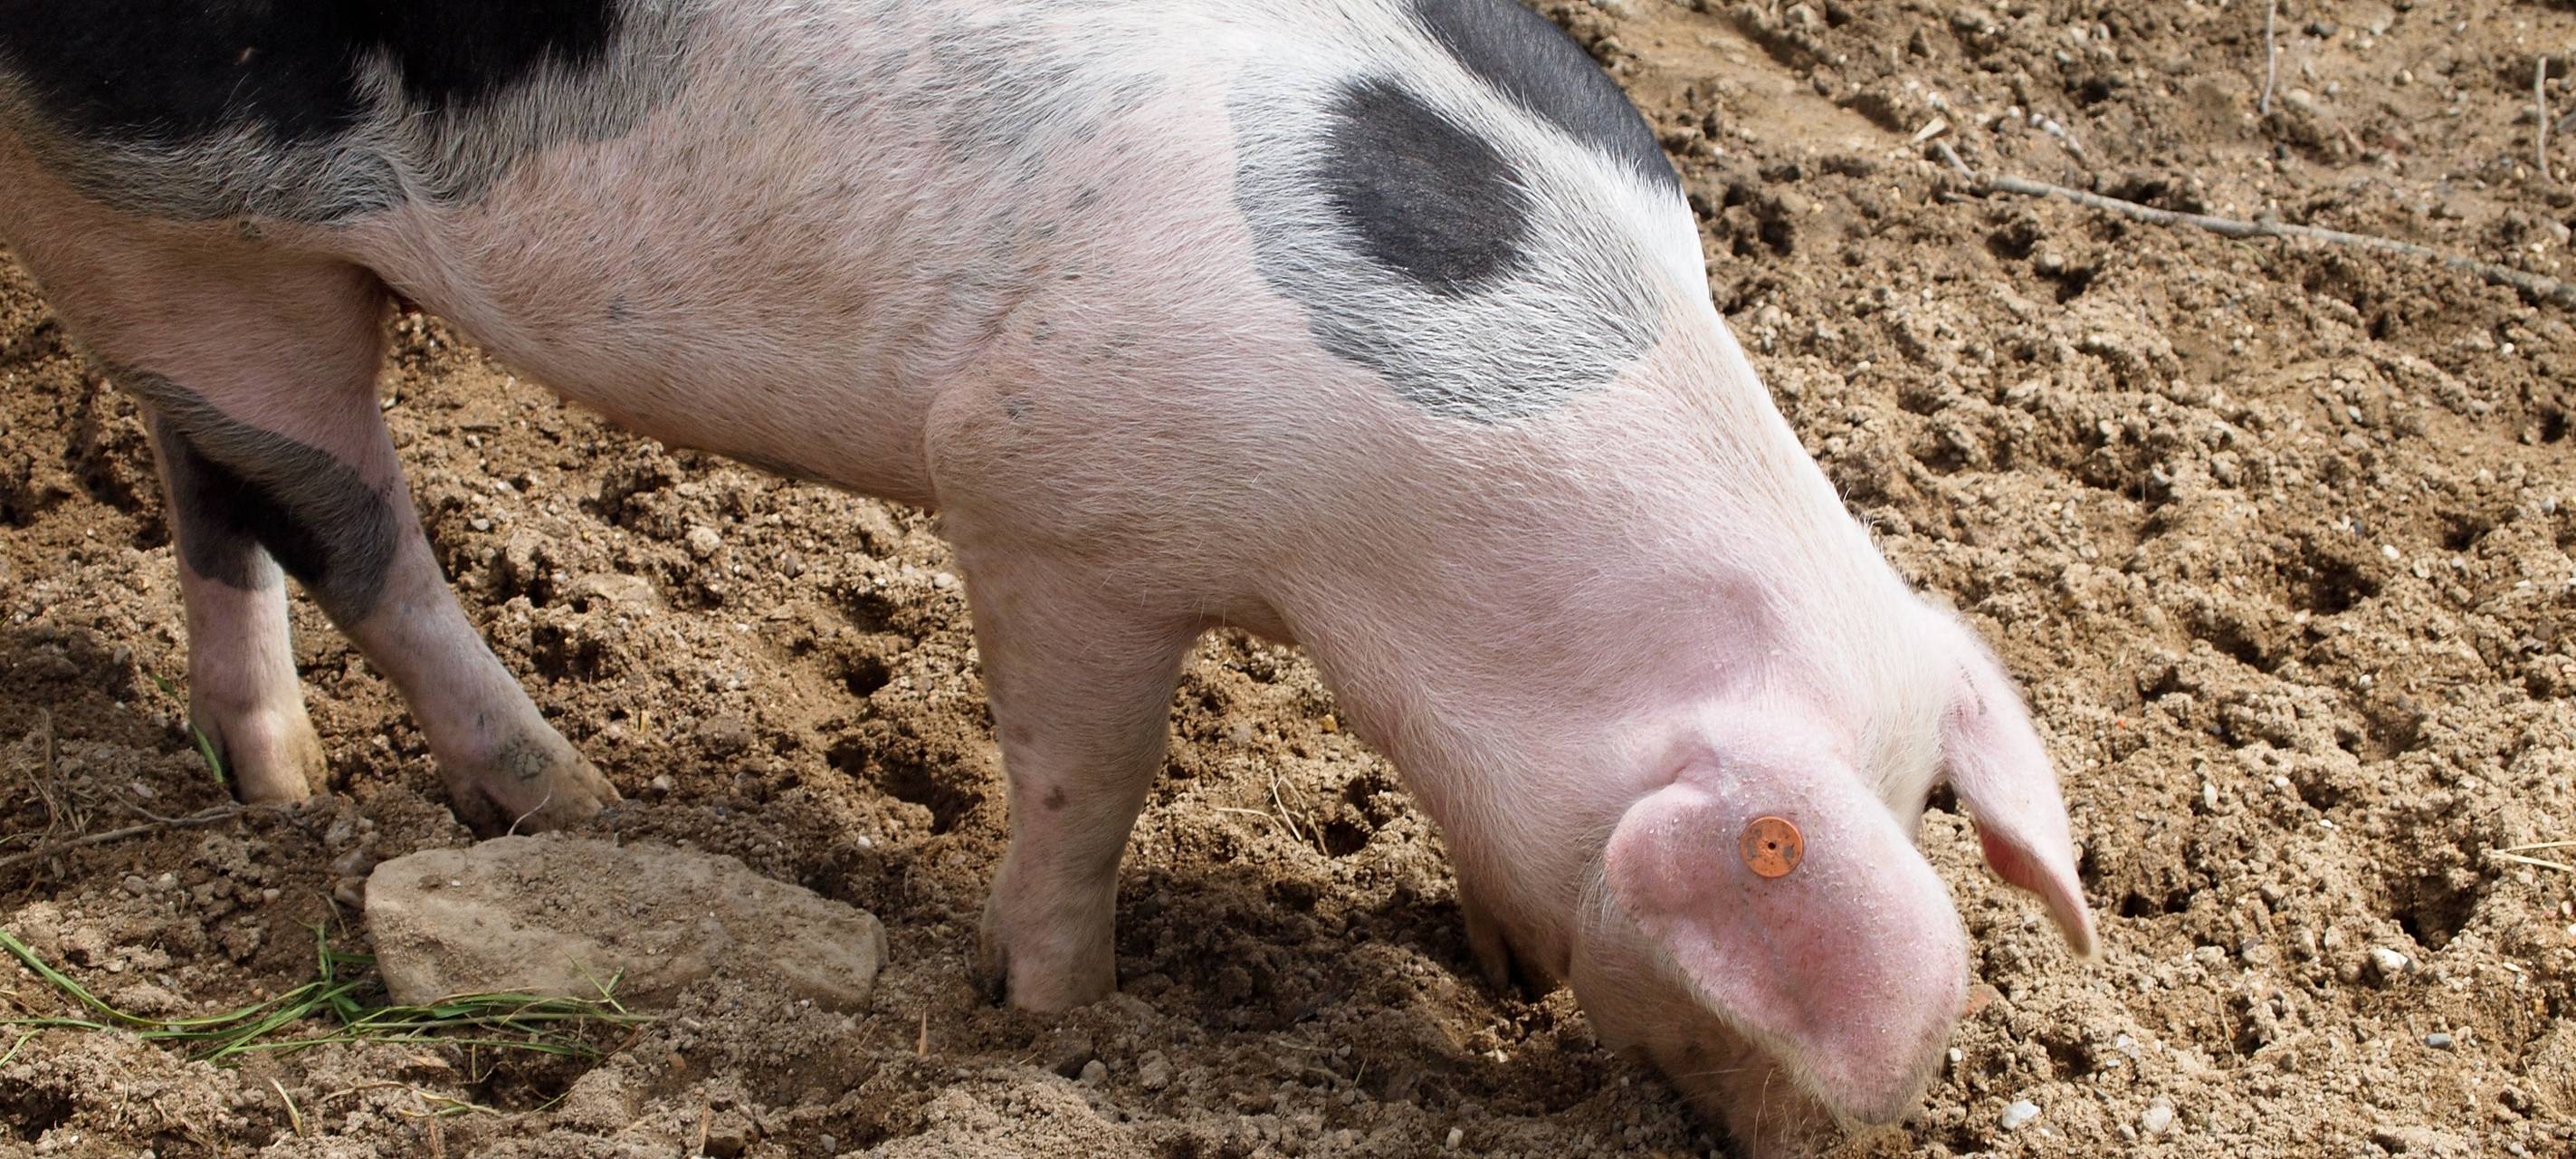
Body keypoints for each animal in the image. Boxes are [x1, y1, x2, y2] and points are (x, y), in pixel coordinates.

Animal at [0, 0, 2096, 1150]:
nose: (1786, 1142)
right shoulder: (1052, 500)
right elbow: (1090, 777)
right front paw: (1058, 1016)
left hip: (195, 259)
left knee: (216, 483)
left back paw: (275, 784)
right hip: (162, 201)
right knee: (340, 521)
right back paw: (565, 795)